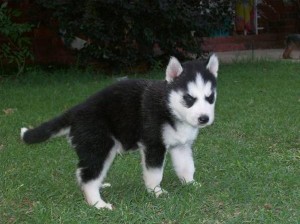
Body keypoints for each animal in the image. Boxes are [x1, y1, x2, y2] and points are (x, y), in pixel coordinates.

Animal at [20, 54, 218, 210]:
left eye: (210, 97)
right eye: (189, 98)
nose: (204, 118)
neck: (169, 106)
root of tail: (77, 109)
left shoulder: (182, 145)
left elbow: (186, 166)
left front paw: (190, 184)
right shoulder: (153, 144)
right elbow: (155, 173)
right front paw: (156, 192)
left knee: (83, 173)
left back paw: (99, 187)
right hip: (99, 145)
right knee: (88, 176)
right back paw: (97, 203)